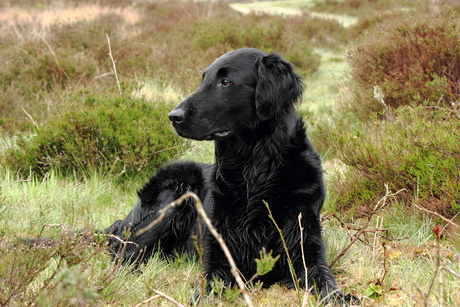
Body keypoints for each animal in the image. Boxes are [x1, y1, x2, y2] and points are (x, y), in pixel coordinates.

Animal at [104, 48, 356, 306]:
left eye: (225, 82)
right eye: (203, 79)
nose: (173, 116)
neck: (254, 168)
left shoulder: (304, 240)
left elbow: (323, 278)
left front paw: (341, 297)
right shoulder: (220, 250)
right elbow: (209, 285)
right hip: (173, 194)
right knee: (124, 253)